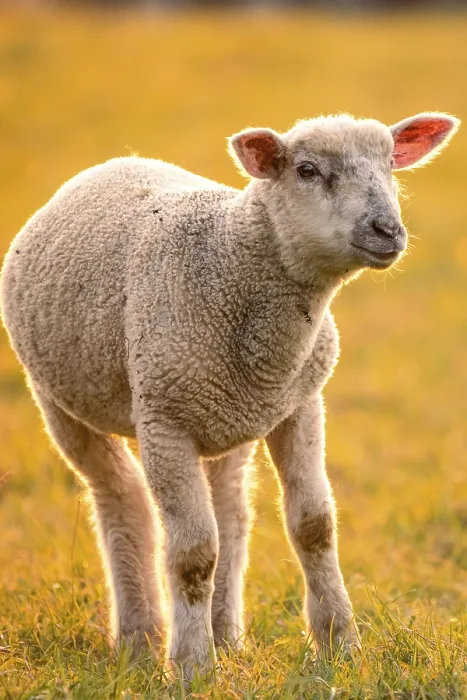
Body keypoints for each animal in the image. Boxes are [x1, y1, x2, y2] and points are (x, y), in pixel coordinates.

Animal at [0, 112, 459, 680]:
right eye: (307, 170)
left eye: (391, 164)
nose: (387, 231)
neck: (230, 262)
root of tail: (116, 162)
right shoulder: (164, 419)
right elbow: (194, 552)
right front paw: (192, 667)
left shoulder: (300, 404)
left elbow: (314, 527)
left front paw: (340, 646)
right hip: (61, 399)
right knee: (121, 500)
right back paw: (141, 640)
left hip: (228, 417)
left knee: (232, 512)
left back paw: (226, 635)